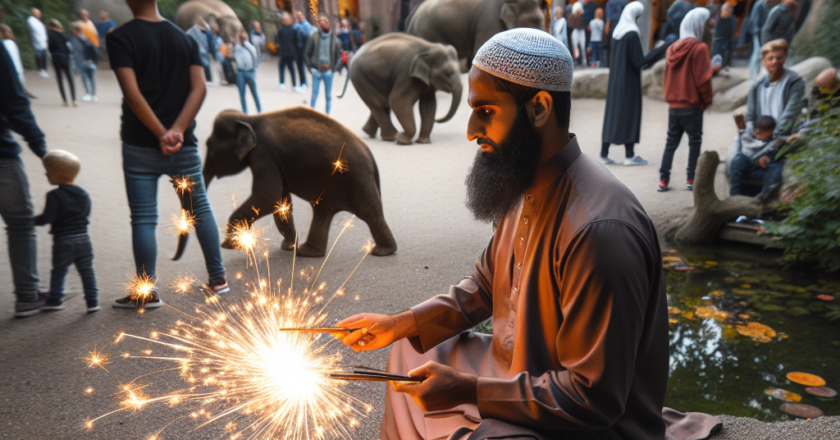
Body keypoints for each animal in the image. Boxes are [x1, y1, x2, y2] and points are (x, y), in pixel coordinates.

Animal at [197, 107, 398, 258]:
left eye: (209, 147)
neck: (249, 119)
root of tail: (371, 157)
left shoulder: (263, 155)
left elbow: (268, 196)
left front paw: (229, 245)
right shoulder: (273, 161)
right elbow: (281, 201)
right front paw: (288, 246)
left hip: (358, 180)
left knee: (369, 212)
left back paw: (383, 252)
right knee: (323, 211)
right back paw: (305, 252)